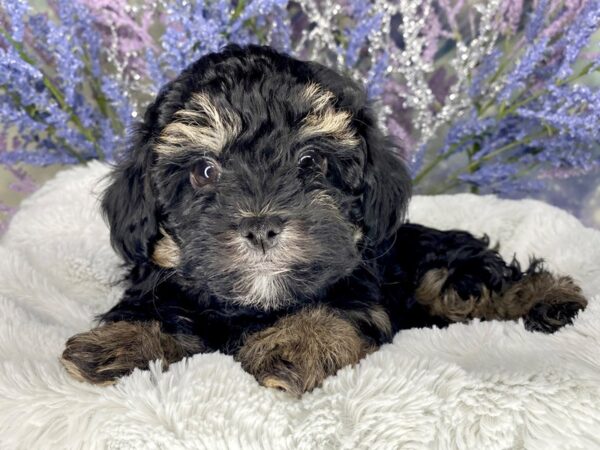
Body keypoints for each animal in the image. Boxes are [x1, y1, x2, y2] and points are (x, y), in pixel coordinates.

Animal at [61, 45, 584, 396]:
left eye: (310, 162)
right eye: (204, 171)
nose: (261, 227)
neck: (257, 305)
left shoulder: (360, 285)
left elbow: (330, 308)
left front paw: (295, 344)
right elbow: (154, 305)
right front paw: (116, 343)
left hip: (444, 267)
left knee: (477, 282)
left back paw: (551, 297)